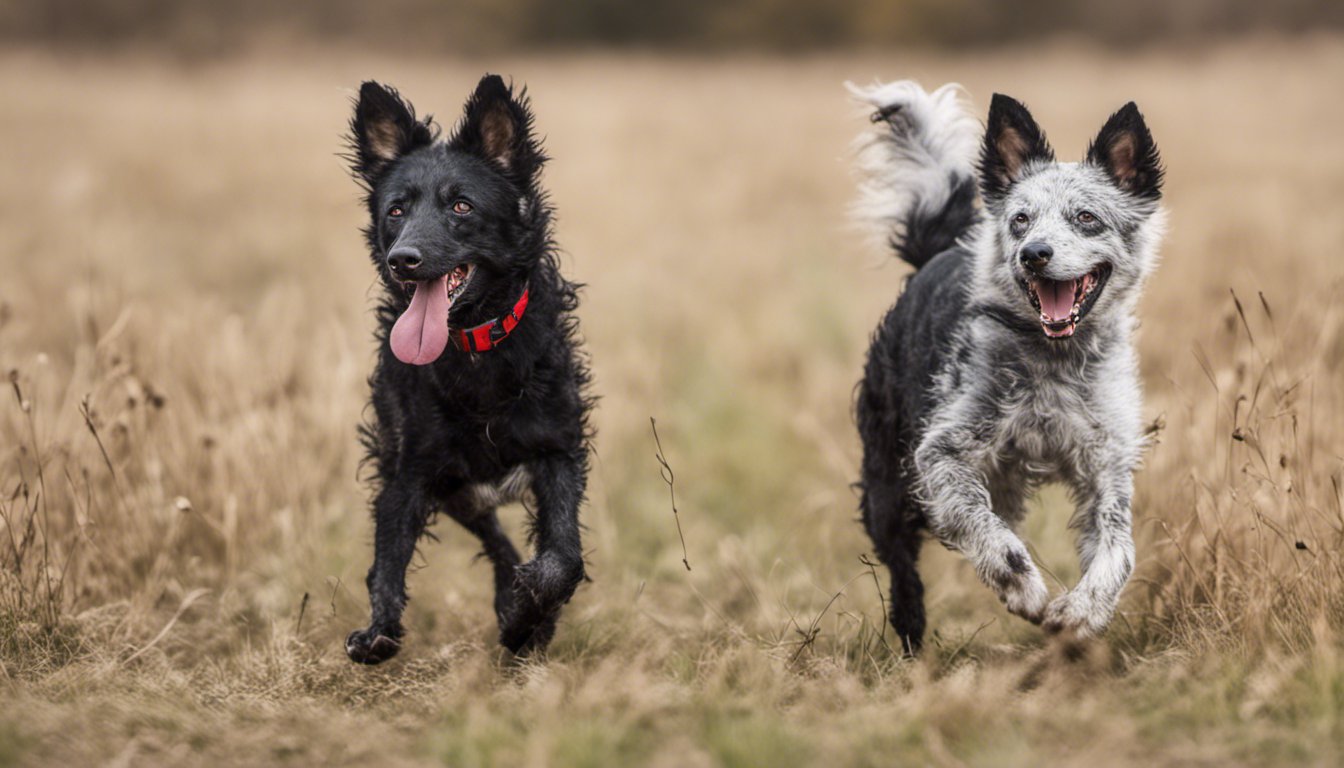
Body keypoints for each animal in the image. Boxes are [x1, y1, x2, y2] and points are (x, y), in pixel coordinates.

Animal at [346, 78, 594, 667]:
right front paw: (378, 632)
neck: (476, 346)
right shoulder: (411, 468)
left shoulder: (557, 450)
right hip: (456, 485)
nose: (404, 259)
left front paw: (528, 618)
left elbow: (563, 558)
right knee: (493, 537)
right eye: (396, 211)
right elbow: (388, 557)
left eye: (461, 205)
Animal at [854, 81, 1161, 650]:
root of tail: (938, 249)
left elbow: (1118, 551)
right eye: (1020, 219)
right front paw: (1025, 592)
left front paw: (1081, 614)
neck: (1054, 360)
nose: (1034, 253)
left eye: (1086, 217)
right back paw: (910, 636)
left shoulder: (1106, 466)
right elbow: (986, 531)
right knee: (902, 562)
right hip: (887, 482)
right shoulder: (941, 455)